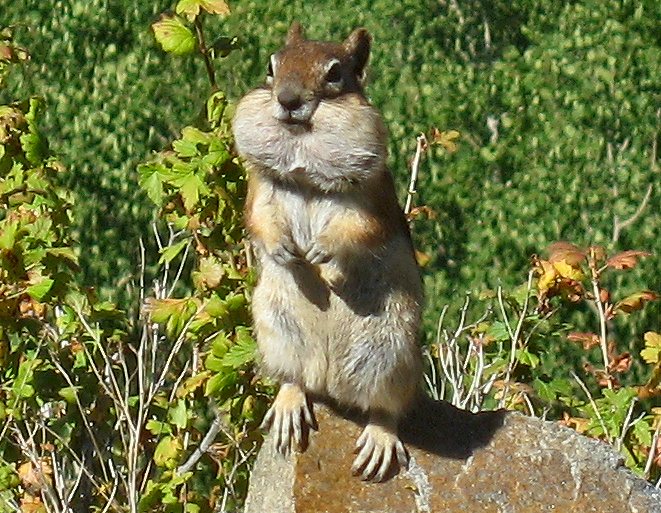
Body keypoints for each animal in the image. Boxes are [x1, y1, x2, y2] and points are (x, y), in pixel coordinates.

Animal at [232, 22, 423, 482]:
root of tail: (329, 379)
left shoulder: (373, 198)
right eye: (272, 66)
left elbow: (360, 229)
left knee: (388, 407)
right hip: (275, 328)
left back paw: (379, 438)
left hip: (391, 350)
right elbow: (259, 220)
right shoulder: (260, 191)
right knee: (294, 378)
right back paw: (289, 404)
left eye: (335, 73)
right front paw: (285, 250)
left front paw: (323, 254)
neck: (305, 171)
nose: (287, 100)